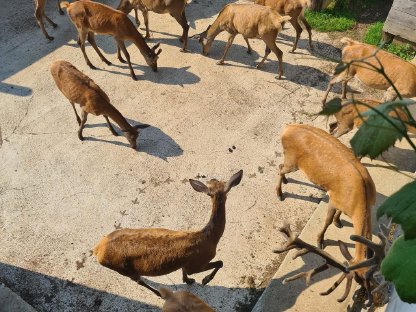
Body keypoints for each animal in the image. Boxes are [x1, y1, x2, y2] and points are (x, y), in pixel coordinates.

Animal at [93, 171, 244, 298]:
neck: (210, 238)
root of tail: (97, 250)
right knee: (139, 281)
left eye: (217, 182)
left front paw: (188, 281)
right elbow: (220, 263)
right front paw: (205, 280)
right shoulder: (198, 262)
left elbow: (184, 270)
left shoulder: (186, 262)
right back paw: (159, 294)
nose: (212, 178)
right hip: (122, 268)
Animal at [274, 123, 376, 276]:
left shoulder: (340, 200)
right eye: (356, 277)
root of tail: (287, 127)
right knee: (280, 168)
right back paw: (279, 194)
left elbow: (338, 214)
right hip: (292, 161)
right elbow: (327, 220)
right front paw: (320, 240)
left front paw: (338, 222)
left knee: (280, 166)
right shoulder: (333, 198)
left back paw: (285, 182)